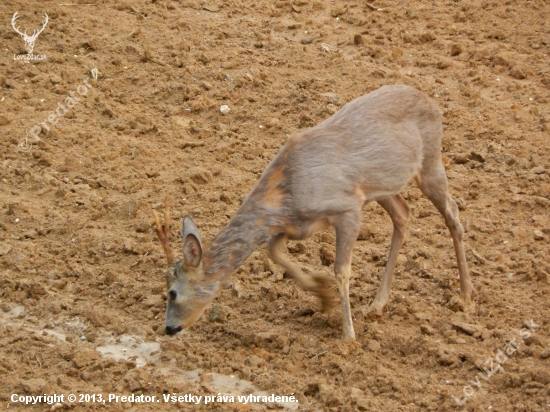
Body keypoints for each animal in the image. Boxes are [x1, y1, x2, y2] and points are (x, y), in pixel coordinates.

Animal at [154, 84, 474, 342]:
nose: (169, 328)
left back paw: (465, 296)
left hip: (430, 161)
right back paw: (378, 304)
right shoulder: (297, 226)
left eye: (173, 292)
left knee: (453, 215)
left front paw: (348, 336)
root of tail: (430, 100)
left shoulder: (347, 208)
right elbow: (273, 251)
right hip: (381, 186)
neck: (286, 195)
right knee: (404, 214)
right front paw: (322, 294)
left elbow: (341, 270)